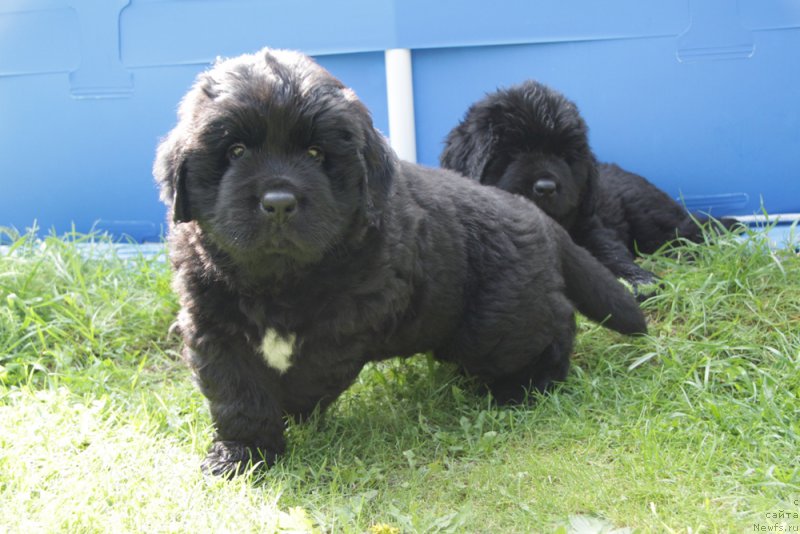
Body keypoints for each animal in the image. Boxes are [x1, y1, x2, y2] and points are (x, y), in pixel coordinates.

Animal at [158, 49, 648, 478]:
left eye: (316, 154)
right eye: (236, 151)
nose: (278, 202)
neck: (277, 279)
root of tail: (535, 213)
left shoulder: (349, 324)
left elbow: (308, 374)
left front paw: (289, 411)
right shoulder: (213, 326)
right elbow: (236, 395)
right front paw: (242, 454)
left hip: (495, 322)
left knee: (554, 323)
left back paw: (526, 386)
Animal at [440, 81, 736, 294]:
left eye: (564, 156)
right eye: (512, 152)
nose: (545, 187)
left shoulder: (592, 228)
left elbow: (609, 254)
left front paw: (640, 281)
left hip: (649, 218)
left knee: (686, 229)